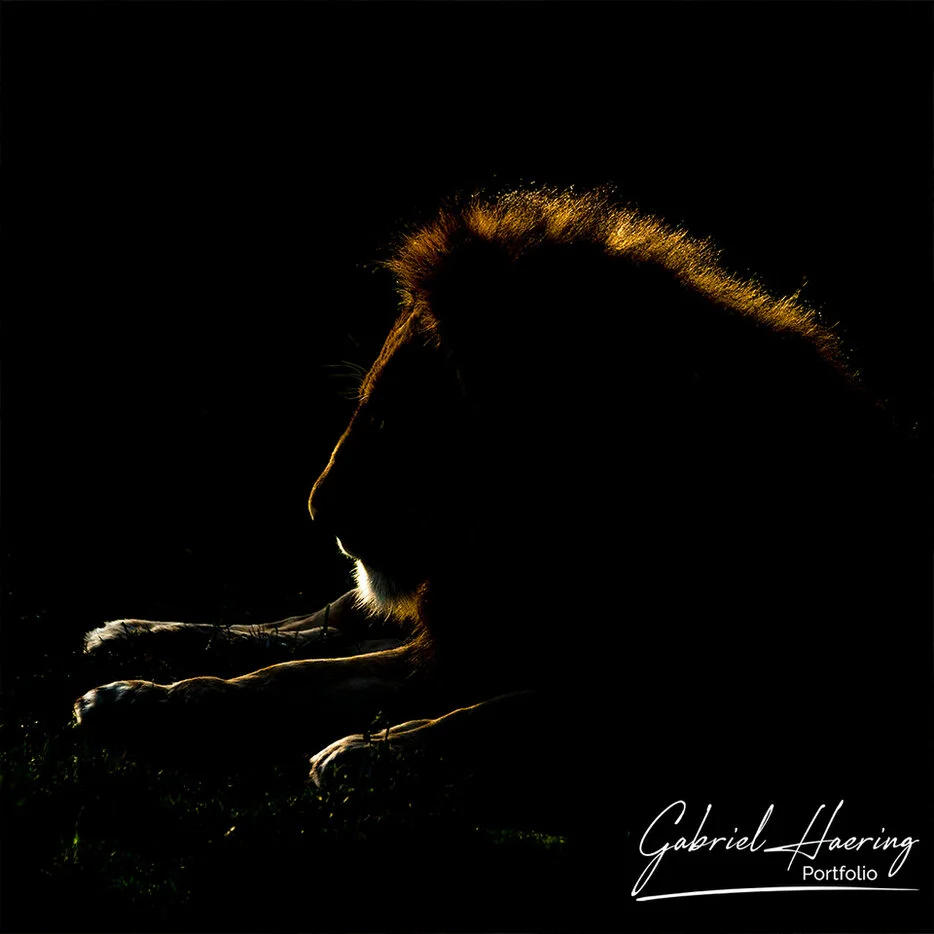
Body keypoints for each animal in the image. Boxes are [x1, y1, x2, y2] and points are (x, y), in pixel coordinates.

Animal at [74, 187, 923, 819]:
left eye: (391, 420)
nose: (317, 515)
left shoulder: (679, 691)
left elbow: (505, 709)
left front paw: (369, 753)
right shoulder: (468, 631)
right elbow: (287, 675)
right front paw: (145, 701)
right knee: (304, 622)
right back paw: (124, 647)